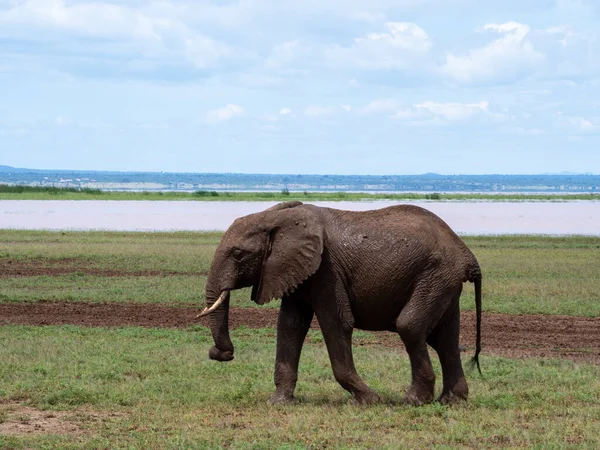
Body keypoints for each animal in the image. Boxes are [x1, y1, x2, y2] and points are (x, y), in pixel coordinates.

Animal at [199, 202, 480, 406]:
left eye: (238, 254)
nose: (220, 354)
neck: (278, 218)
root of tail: (466, 253)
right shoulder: (295, 269)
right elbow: (290, 326)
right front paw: (279, 403)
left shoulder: (326, 269)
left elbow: (337, 323)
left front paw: (370, 400)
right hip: (444, 283)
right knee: (444, 338)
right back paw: (452, 401)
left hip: (436, 276)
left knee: (410, 326)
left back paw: (414, 401)